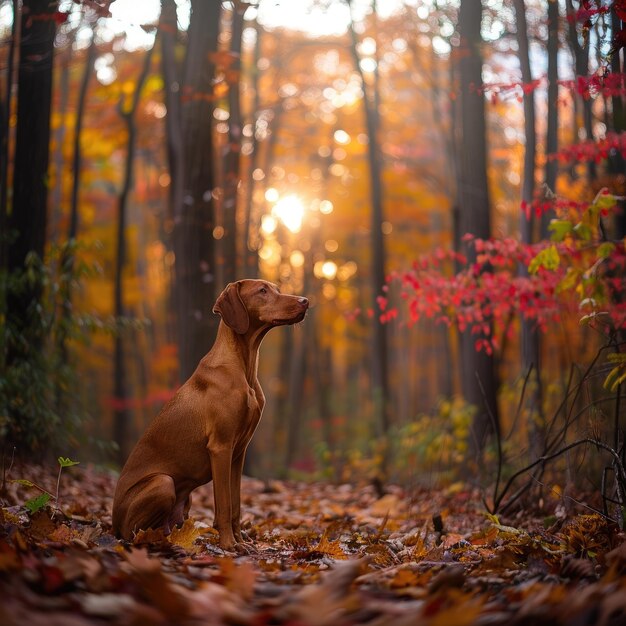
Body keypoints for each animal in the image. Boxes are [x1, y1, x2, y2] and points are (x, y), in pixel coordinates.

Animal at [113, 278, 308, 544]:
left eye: (277, 289)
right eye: (262, 291)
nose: (305, 301)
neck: (244, 367)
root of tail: (112, 523)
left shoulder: (238, 452)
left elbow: (236, 504)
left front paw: (241, 542)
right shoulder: (221, 447)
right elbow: (224, 504)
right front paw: (229, 545)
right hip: (163, 483)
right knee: (132, 533)